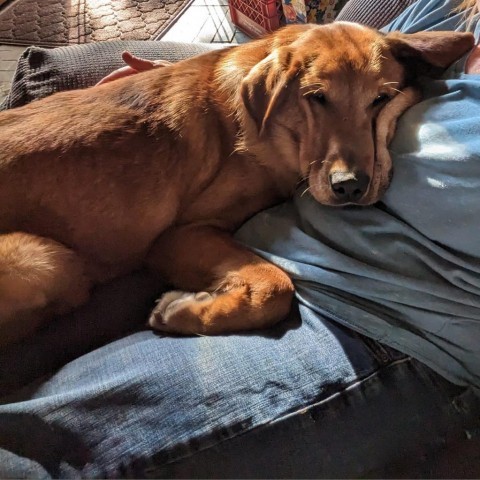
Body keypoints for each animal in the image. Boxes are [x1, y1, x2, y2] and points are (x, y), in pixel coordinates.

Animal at [0, 23, 472, 344]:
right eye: (317, 98)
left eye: (381, 99)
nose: (351, 187)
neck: (278, 129)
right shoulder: (177, 236)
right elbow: (277, 286)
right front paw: (182, 312)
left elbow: (272, 286)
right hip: (47, 258)